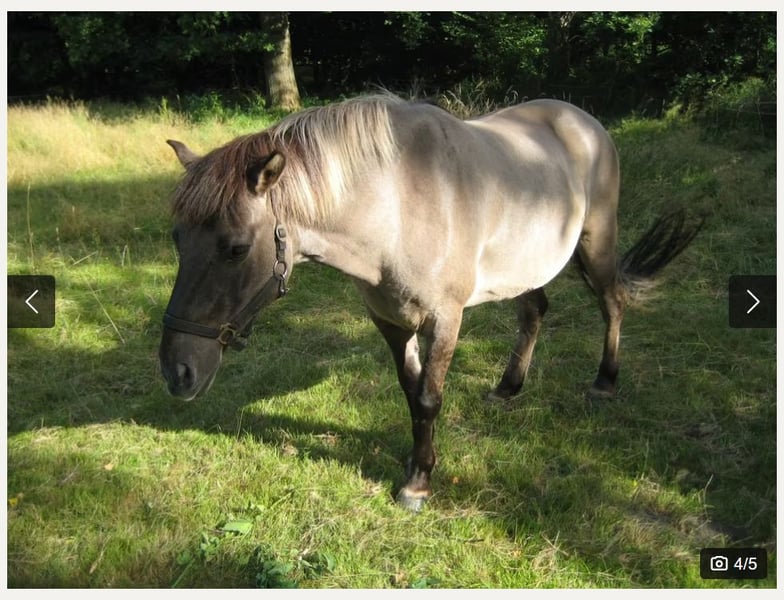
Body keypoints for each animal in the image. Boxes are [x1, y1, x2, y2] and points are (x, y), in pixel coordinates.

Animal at [159, 94, 701, 511]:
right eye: (177, 240)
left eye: (235, 248)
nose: (177, 372)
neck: (399, 205)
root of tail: (582, 120)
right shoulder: (390, 320)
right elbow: (410, 391)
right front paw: (418, 462)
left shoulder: (445, 318)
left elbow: (428, 397)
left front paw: (417, 485)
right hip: (525, 264)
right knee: (534, 312)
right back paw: (508, 388)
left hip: (597, 242)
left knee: (612, 303)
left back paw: (605, 382)